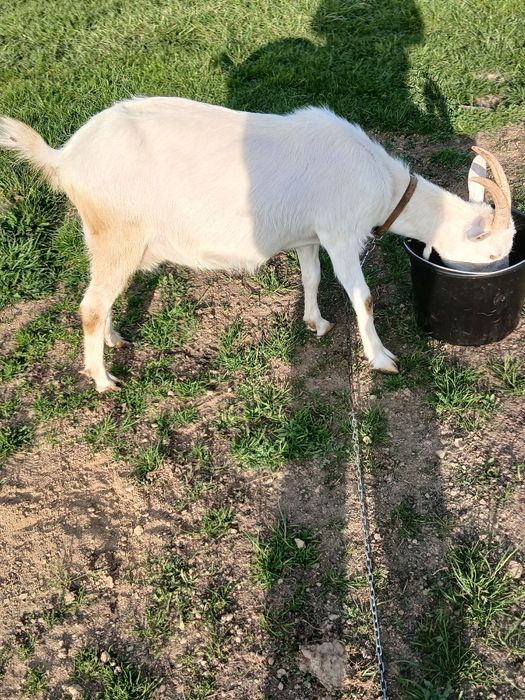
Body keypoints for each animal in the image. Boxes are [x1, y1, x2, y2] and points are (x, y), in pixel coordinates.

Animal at [0, 97, 514, 392]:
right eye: (491, 252)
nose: (501, 276)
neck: (379, 183)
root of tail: (65, 157)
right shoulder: (340, 233)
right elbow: (363, 298)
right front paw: (382, 359)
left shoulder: (309, 236)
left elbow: (312, 277)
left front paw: (316, 323)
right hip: (117, 230)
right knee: (90, 305)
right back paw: (104, 381)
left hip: (106, 238)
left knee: (103, 297)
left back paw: (114, 340)